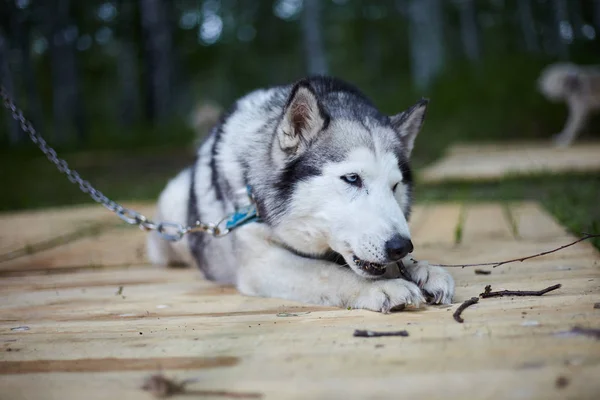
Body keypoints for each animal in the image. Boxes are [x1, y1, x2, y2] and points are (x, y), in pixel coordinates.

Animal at [148, 77, 452, 312]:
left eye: (395, 186)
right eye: (352, 178)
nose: (401, 246)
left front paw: (423, 269)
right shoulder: (261, 261)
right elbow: (324, 271)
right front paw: (383, 287)